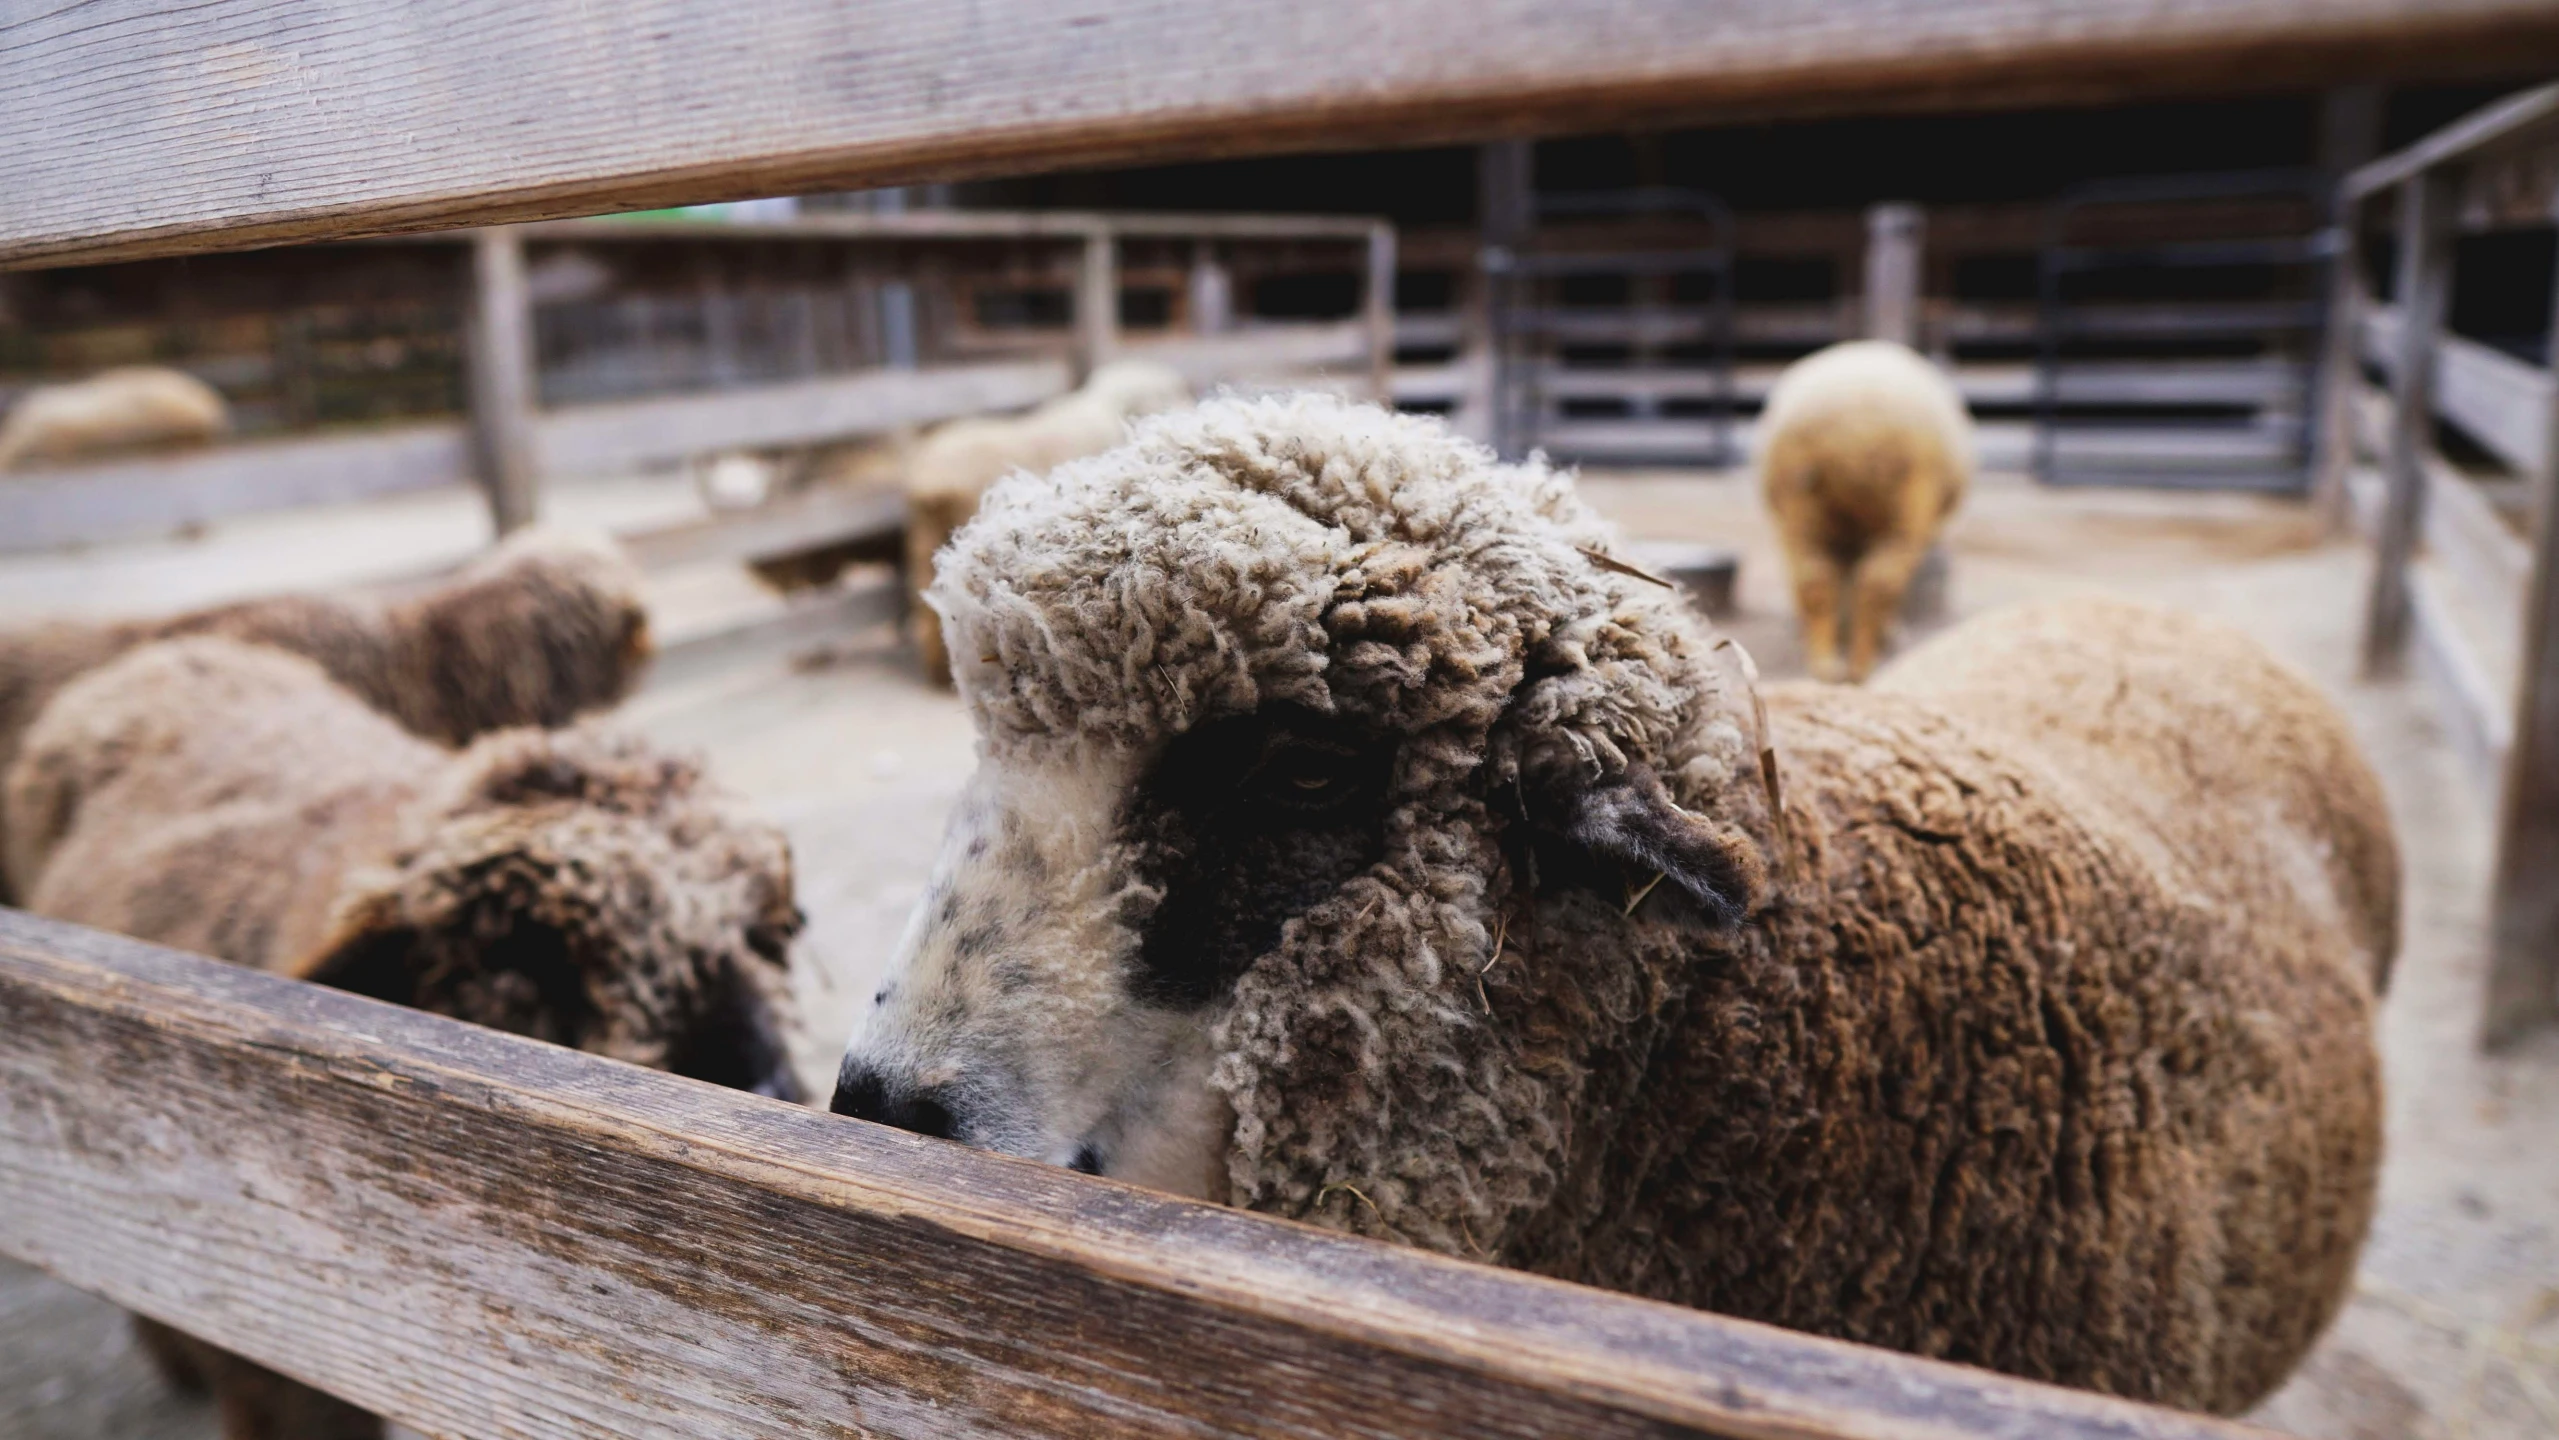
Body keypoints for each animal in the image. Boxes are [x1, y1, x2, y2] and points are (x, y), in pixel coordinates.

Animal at [1760, 340, 1975, 685]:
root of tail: (1852, 436)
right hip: (1906, 507)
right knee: (1879, 584)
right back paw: (1860, 666)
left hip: (1800, 507)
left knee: (1814, 579)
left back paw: (1826, 663)